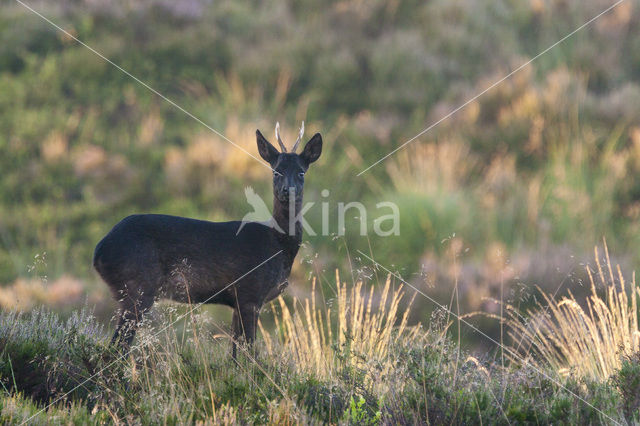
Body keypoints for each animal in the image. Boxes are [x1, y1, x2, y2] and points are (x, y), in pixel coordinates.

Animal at [92, 122, 322, 356]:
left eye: (301, 172)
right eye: (276, 171)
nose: (287, 190)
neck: (277, 245)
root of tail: (99, 251)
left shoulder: (238, 301)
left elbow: (235, 354)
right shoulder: (250, 292)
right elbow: (249, 351)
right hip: (137, 285)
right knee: (116, 346)